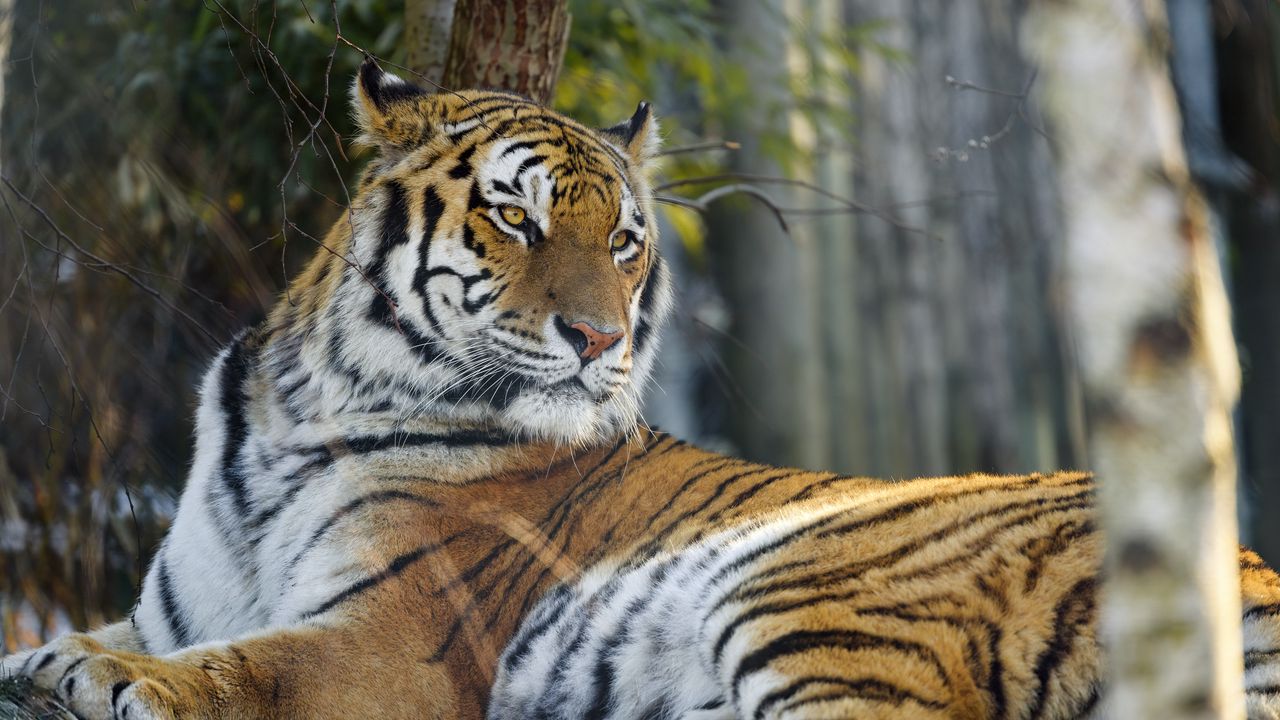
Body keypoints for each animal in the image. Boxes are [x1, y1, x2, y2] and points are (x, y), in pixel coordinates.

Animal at [4, 57, 1280, 720]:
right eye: (515, 220)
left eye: (622, 242)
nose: (597, 339)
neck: (304, 404)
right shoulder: (181, 598)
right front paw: (47, 657)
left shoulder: (396, 640)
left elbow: (252, 665)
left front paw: (102, 676)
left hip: (808, 593)